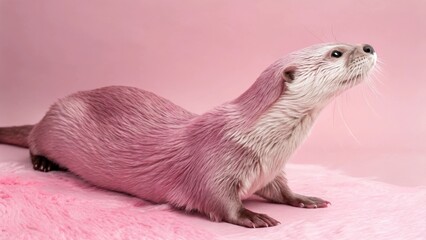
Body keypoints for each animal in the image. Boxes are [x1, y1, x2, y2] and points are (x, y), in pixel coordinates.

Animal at [0, 43, 376, 229]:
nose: (369, 46)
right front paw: (252, 216)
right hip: (55, 122)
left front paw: (304, 198)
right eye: (336, 52)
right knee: (34, 139)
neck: (264, 144)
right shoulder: (213, 164)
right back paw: (43, 163)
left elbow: (281, 190)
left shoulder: (272, 171)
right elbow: (217, 199)